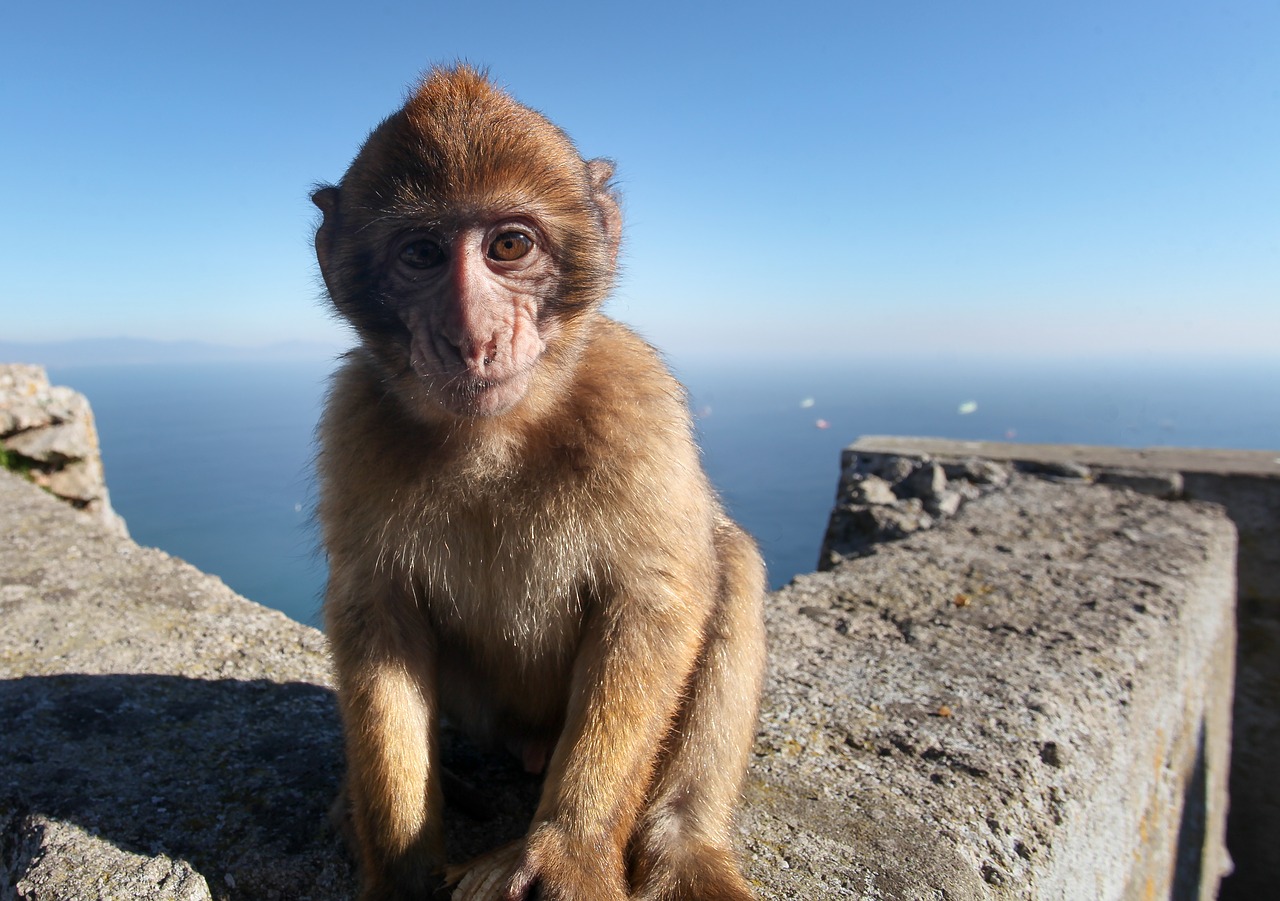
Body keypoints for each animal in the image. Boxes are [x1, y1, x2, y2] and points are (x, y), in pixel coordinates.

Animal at [313, 65, 762, 901]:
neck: (496, 436)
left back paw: (685, 843)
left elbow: (655, 597)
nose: (473, 334)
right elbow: (377, 615)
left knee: (732, 561)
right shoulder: (352, 425)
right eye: (422, 253)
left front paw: (567, 850)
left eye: (510, 245)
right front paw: (402, 866)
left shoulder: (636, 403)